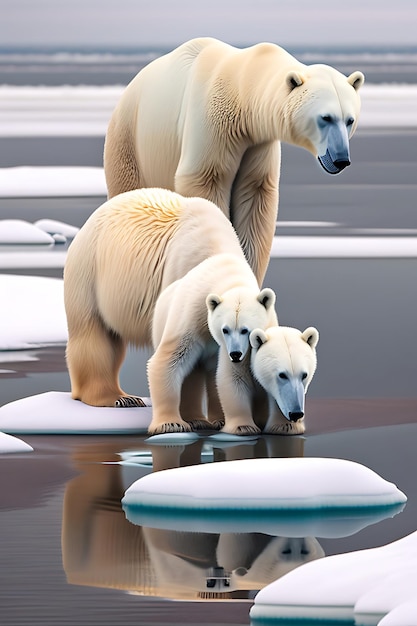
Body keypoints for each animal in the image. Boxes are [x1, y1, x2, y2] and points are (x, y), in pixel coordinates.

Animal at [104, 37, 364, 282]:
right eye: (326, 117)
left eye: (349, 120)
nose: (341, 159)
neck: (240, 90)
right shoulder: (212, 125)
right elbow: (206, 182)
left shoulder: (257, 144)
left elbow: (254, 198)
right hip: (130, 141)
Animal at [146, 252, 276, 434]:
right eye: (225, 329)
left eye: (246, 330)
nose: (236, 355)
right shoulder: (191, 316)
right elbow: (169, 360)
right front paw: (170, 424)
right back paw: (196, 420)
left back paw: (217, 420)